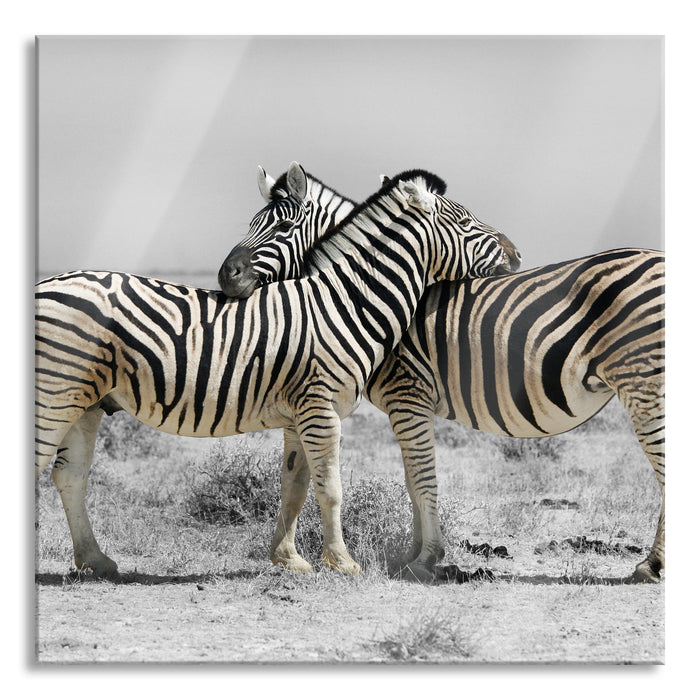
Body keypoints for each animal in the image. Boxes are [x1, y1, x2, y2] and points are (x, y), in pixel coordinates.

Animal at [35, 168, 510, 579]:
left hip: (87, 403)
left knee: (69, 475)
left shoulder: (300, 414)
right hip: (54, 394)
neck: (344, 302)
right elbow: (330, 488)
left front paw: (289, 559)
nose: (514, 254)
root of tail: (46, 284)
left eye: (282, 226)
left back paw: (95, 561)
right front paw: (342, 563)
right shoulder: (321, 409)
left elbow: (295, 485)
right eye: (465, 221)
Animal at [218, 166, 665, 584]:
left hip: (644, 382)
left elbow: (421, 478)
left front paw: (426, 558)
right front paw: (416, 554)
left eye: (281, 227)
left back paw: (651, 566)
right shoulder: (408, 405)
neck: (358, 295)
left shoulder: (407, 395)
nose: (226, 276)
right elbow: (412, 480)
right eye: (253, 223)